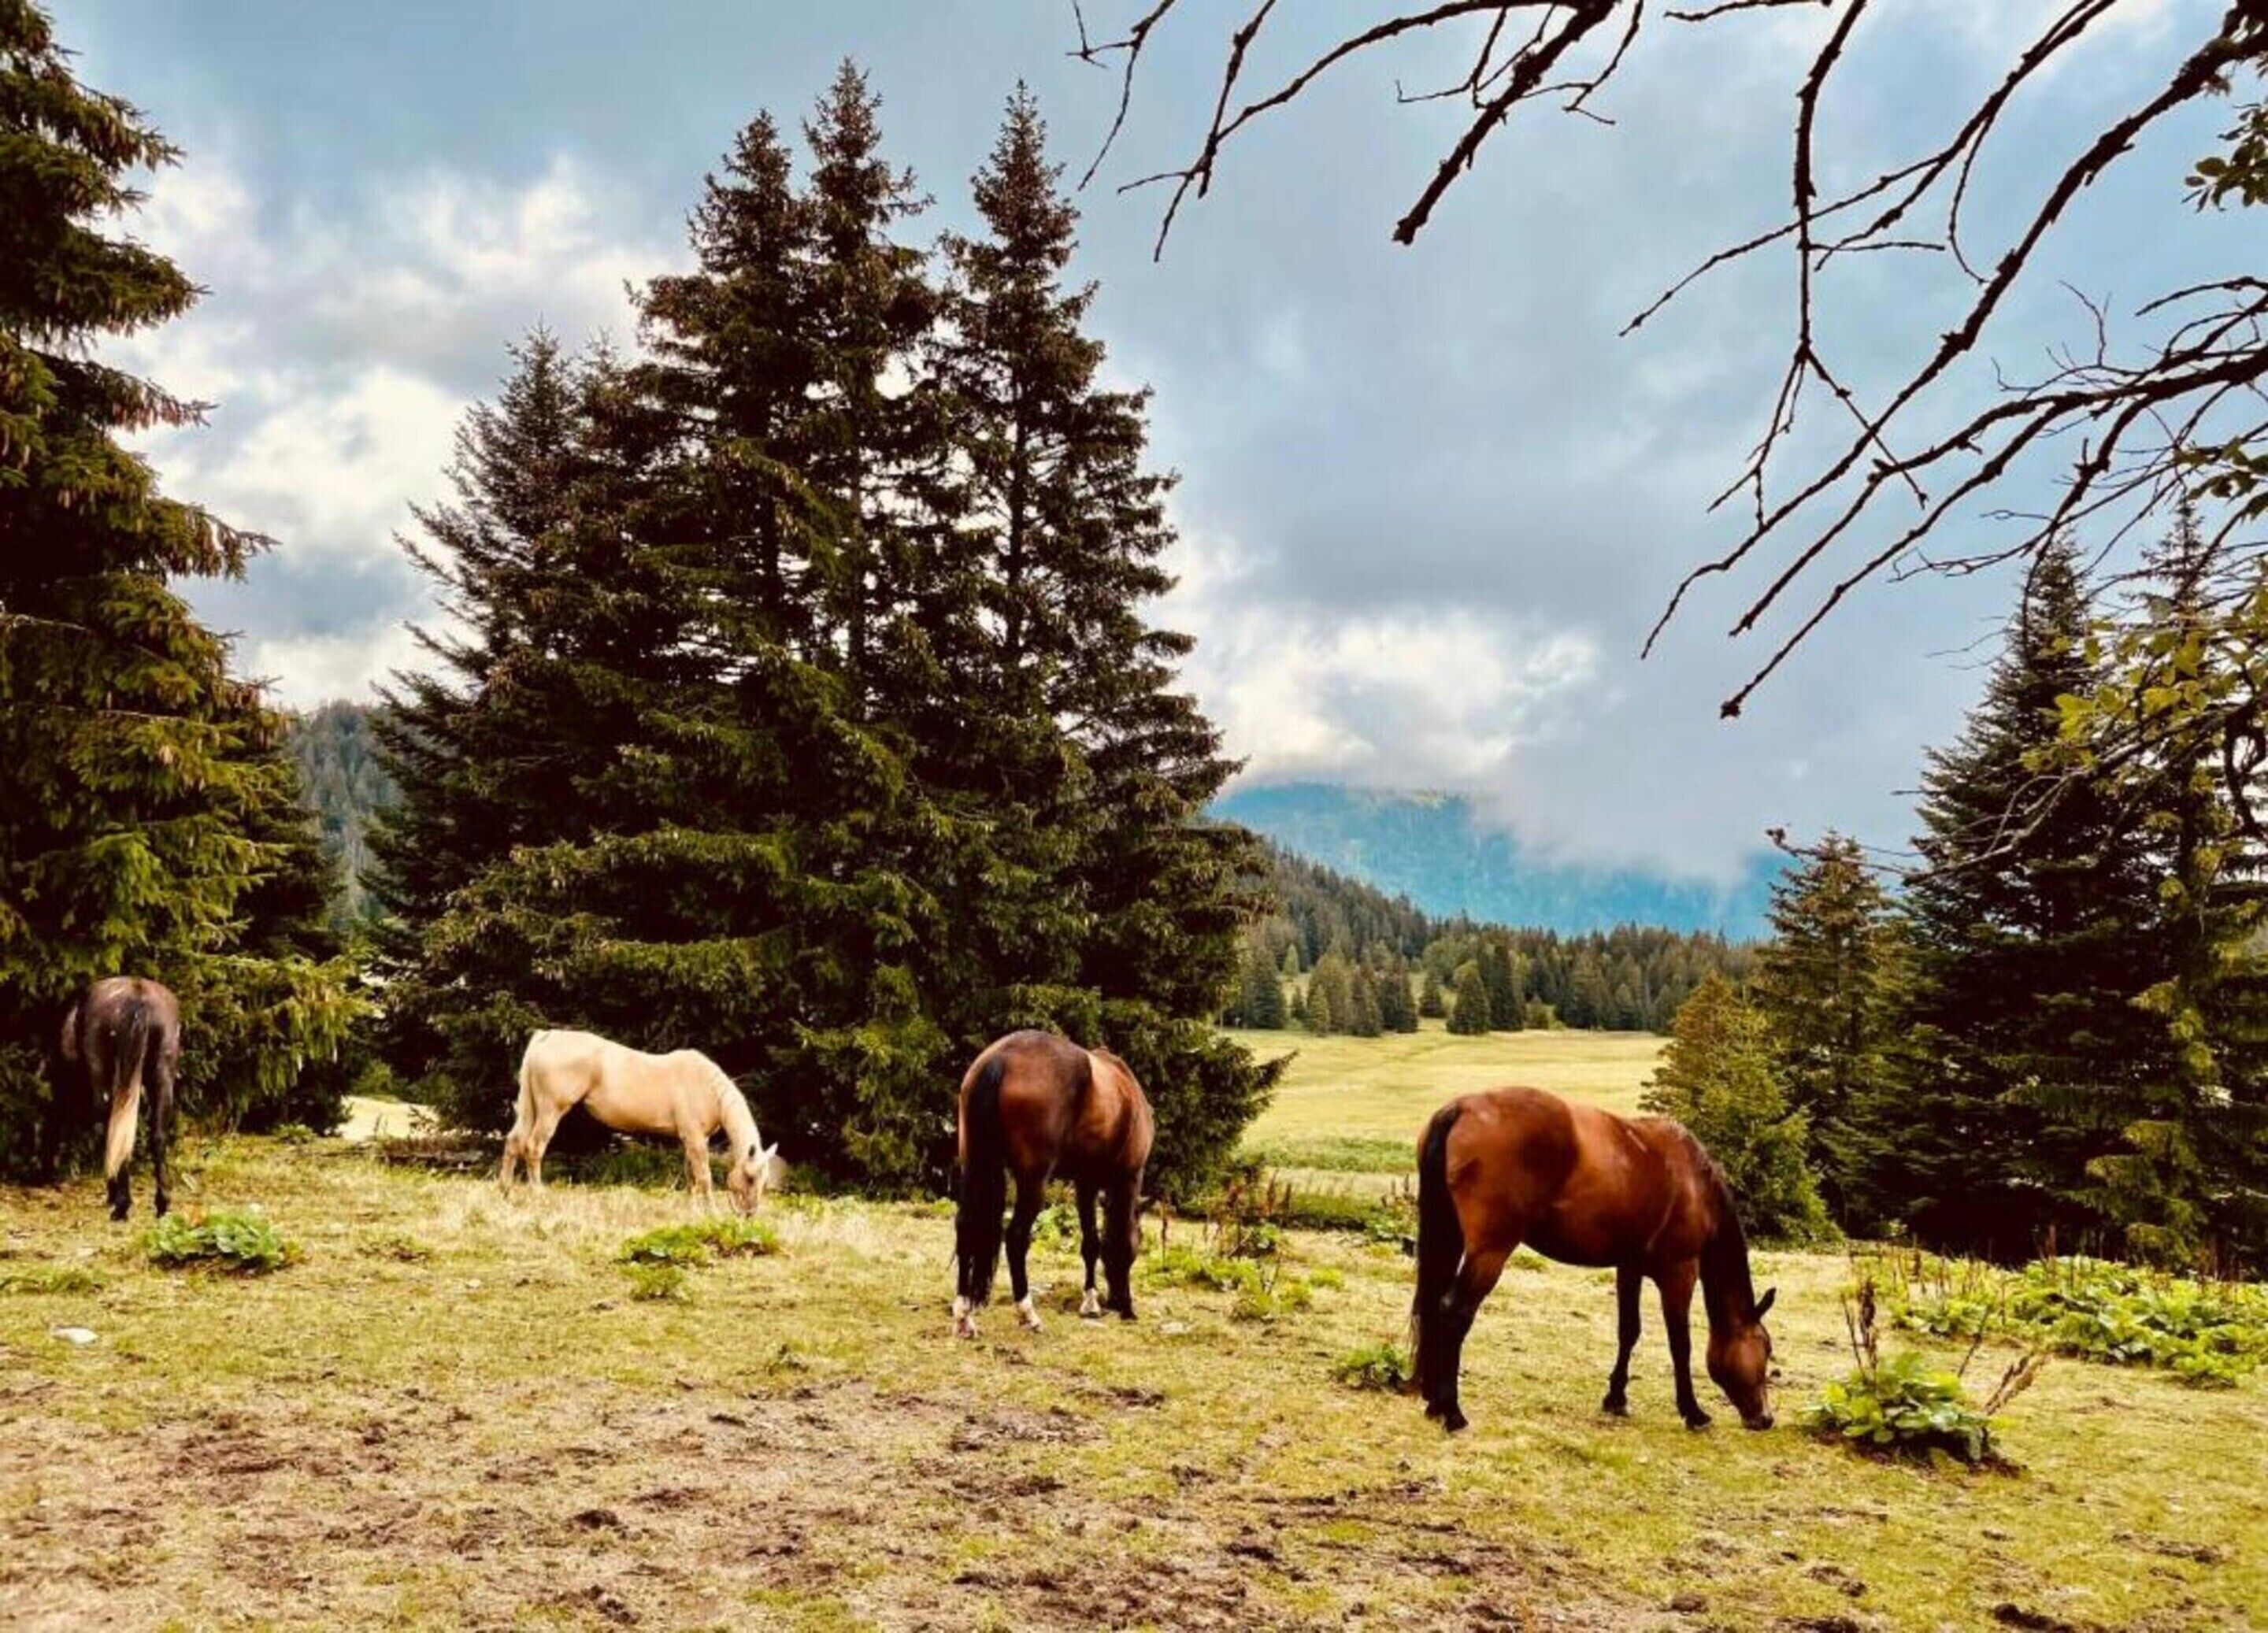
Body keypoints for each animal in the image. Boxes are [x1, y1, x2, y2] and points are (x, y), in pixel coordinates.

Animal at [51, 978, 182, 1221]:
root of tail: (138, 996)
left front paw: (114, 1195)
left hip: (102, 1074)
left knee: (113, 1127)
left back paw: (122, 1204)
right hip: (163, 1074)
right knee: (157, 1136)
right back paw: (162, 1203)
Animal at [501, 1029, 780, 1212]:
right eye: (750, 1177)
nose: (749, 1214)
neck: (707, 1087)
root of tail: (547, 1037)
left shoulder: (691, 1141)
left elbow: (691, 1175)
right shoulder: (696, 1140)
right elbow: (704, 1176)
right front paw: (711, 1212)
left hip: (532, 1109)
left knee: (514, 1142)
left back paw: (506, 1191)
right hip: (551, 1111)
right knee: (534, 1147)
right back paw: (539, 1195)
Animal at [952, 1029, 1153, 1339]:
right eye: (1139, 1241)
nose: (1119, 1304)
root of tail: (1002, 1057)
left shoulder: (1086, 1182)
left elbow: (1091, 1242)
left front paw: (1091, 1302)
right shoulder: (1127, 1176)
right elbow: (1110, 1238)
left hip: (974, 1165)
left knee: (965, 1227)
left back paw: (964, 1316)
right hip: (1033, 1181)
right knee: (1016, 1237)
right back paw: (1028, 1314)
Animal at [1411, 1087, 1778, 1434]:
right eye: (1765, 1347)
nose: (1765, 1418)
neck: (1694, 1184)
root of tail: (1461, 1108)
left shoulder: (1629, 1267)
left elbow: (1629, 1331)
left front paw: (1616, 1399)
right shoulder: (1680, 1273)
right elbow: (1680, 1344)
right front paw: (1693, 1412)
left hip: (1451, 1237)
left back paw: (1434, 1405)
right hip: (1489, 1252)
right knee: (1454, 1311)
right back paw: (1453, 1413)